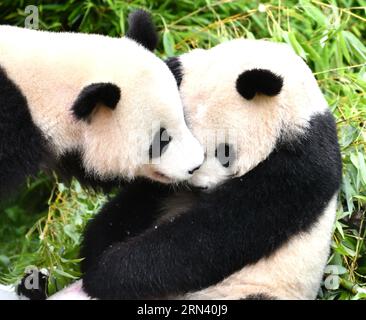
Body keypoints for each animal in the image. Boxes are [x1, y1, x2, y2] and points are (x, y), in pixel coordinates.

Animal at [49, 38, 344, 300]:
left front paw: (108, 272)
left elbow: (220, 231)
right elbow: (134, 203)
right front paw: (94, 251)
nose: (200, 185)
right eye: (167, 141)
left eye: (225, 152)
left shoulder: (300, 163)